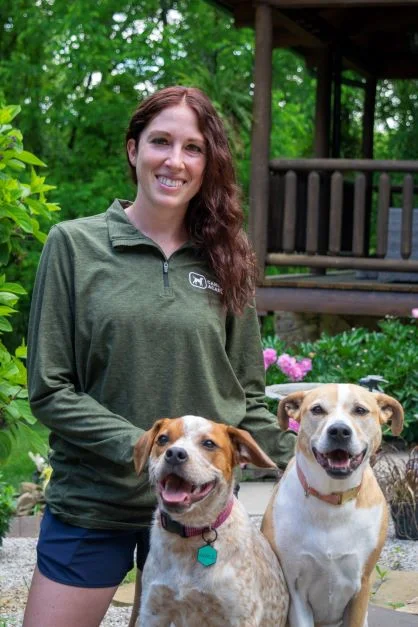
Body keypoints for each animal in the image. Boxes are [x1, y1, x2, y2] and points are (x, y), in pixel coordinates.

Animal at [133, 418, 288, 627]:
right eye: (163, 439)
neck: (189, 536)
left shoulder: (241, 616)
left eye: (208, 443)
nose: (175, 454)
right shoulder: (152, 611)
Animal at [262, 382, 404, 627]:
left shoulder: (361, 585)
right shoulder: (296, 590)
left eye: (360, 410)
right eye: (317, 409)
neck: (332, 500)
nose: (339, 431)